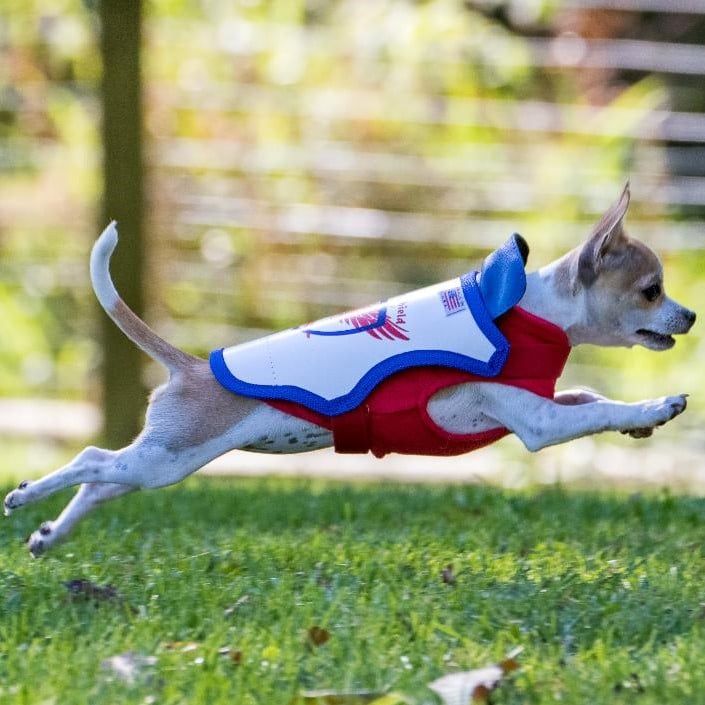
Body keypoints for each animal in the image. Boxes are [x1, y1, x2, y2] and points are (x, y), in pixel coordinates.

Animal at [2, 183, 696, 556]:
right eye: (651, 291)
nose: (689, 315)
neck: (530, 316)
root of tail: (192, 368)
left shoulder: (546, 403)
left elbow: (591, 398)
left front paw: (641, 424)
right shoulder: (539, 424)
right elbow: (598, 410)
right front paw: (657, 407)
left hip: (160, 463)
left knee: (101, 480)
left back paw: (48, 536)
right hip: (167, 458)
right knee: (90, 459)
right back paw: (24, 495)